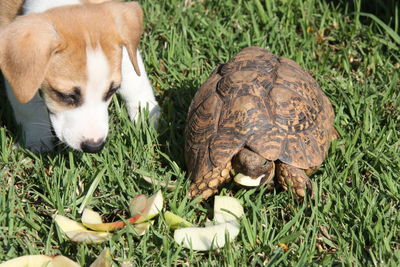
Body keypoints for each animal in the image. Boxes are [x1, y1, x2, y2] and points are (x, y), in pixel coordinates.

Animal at [0, 0, 159, 153]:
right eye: (65, 95)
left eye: (112, 91)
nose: (94, 147)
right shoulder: (21, 79)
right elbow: (29, 107)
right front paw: (37, 140)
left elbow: (136, 81)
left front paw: (147, 116)